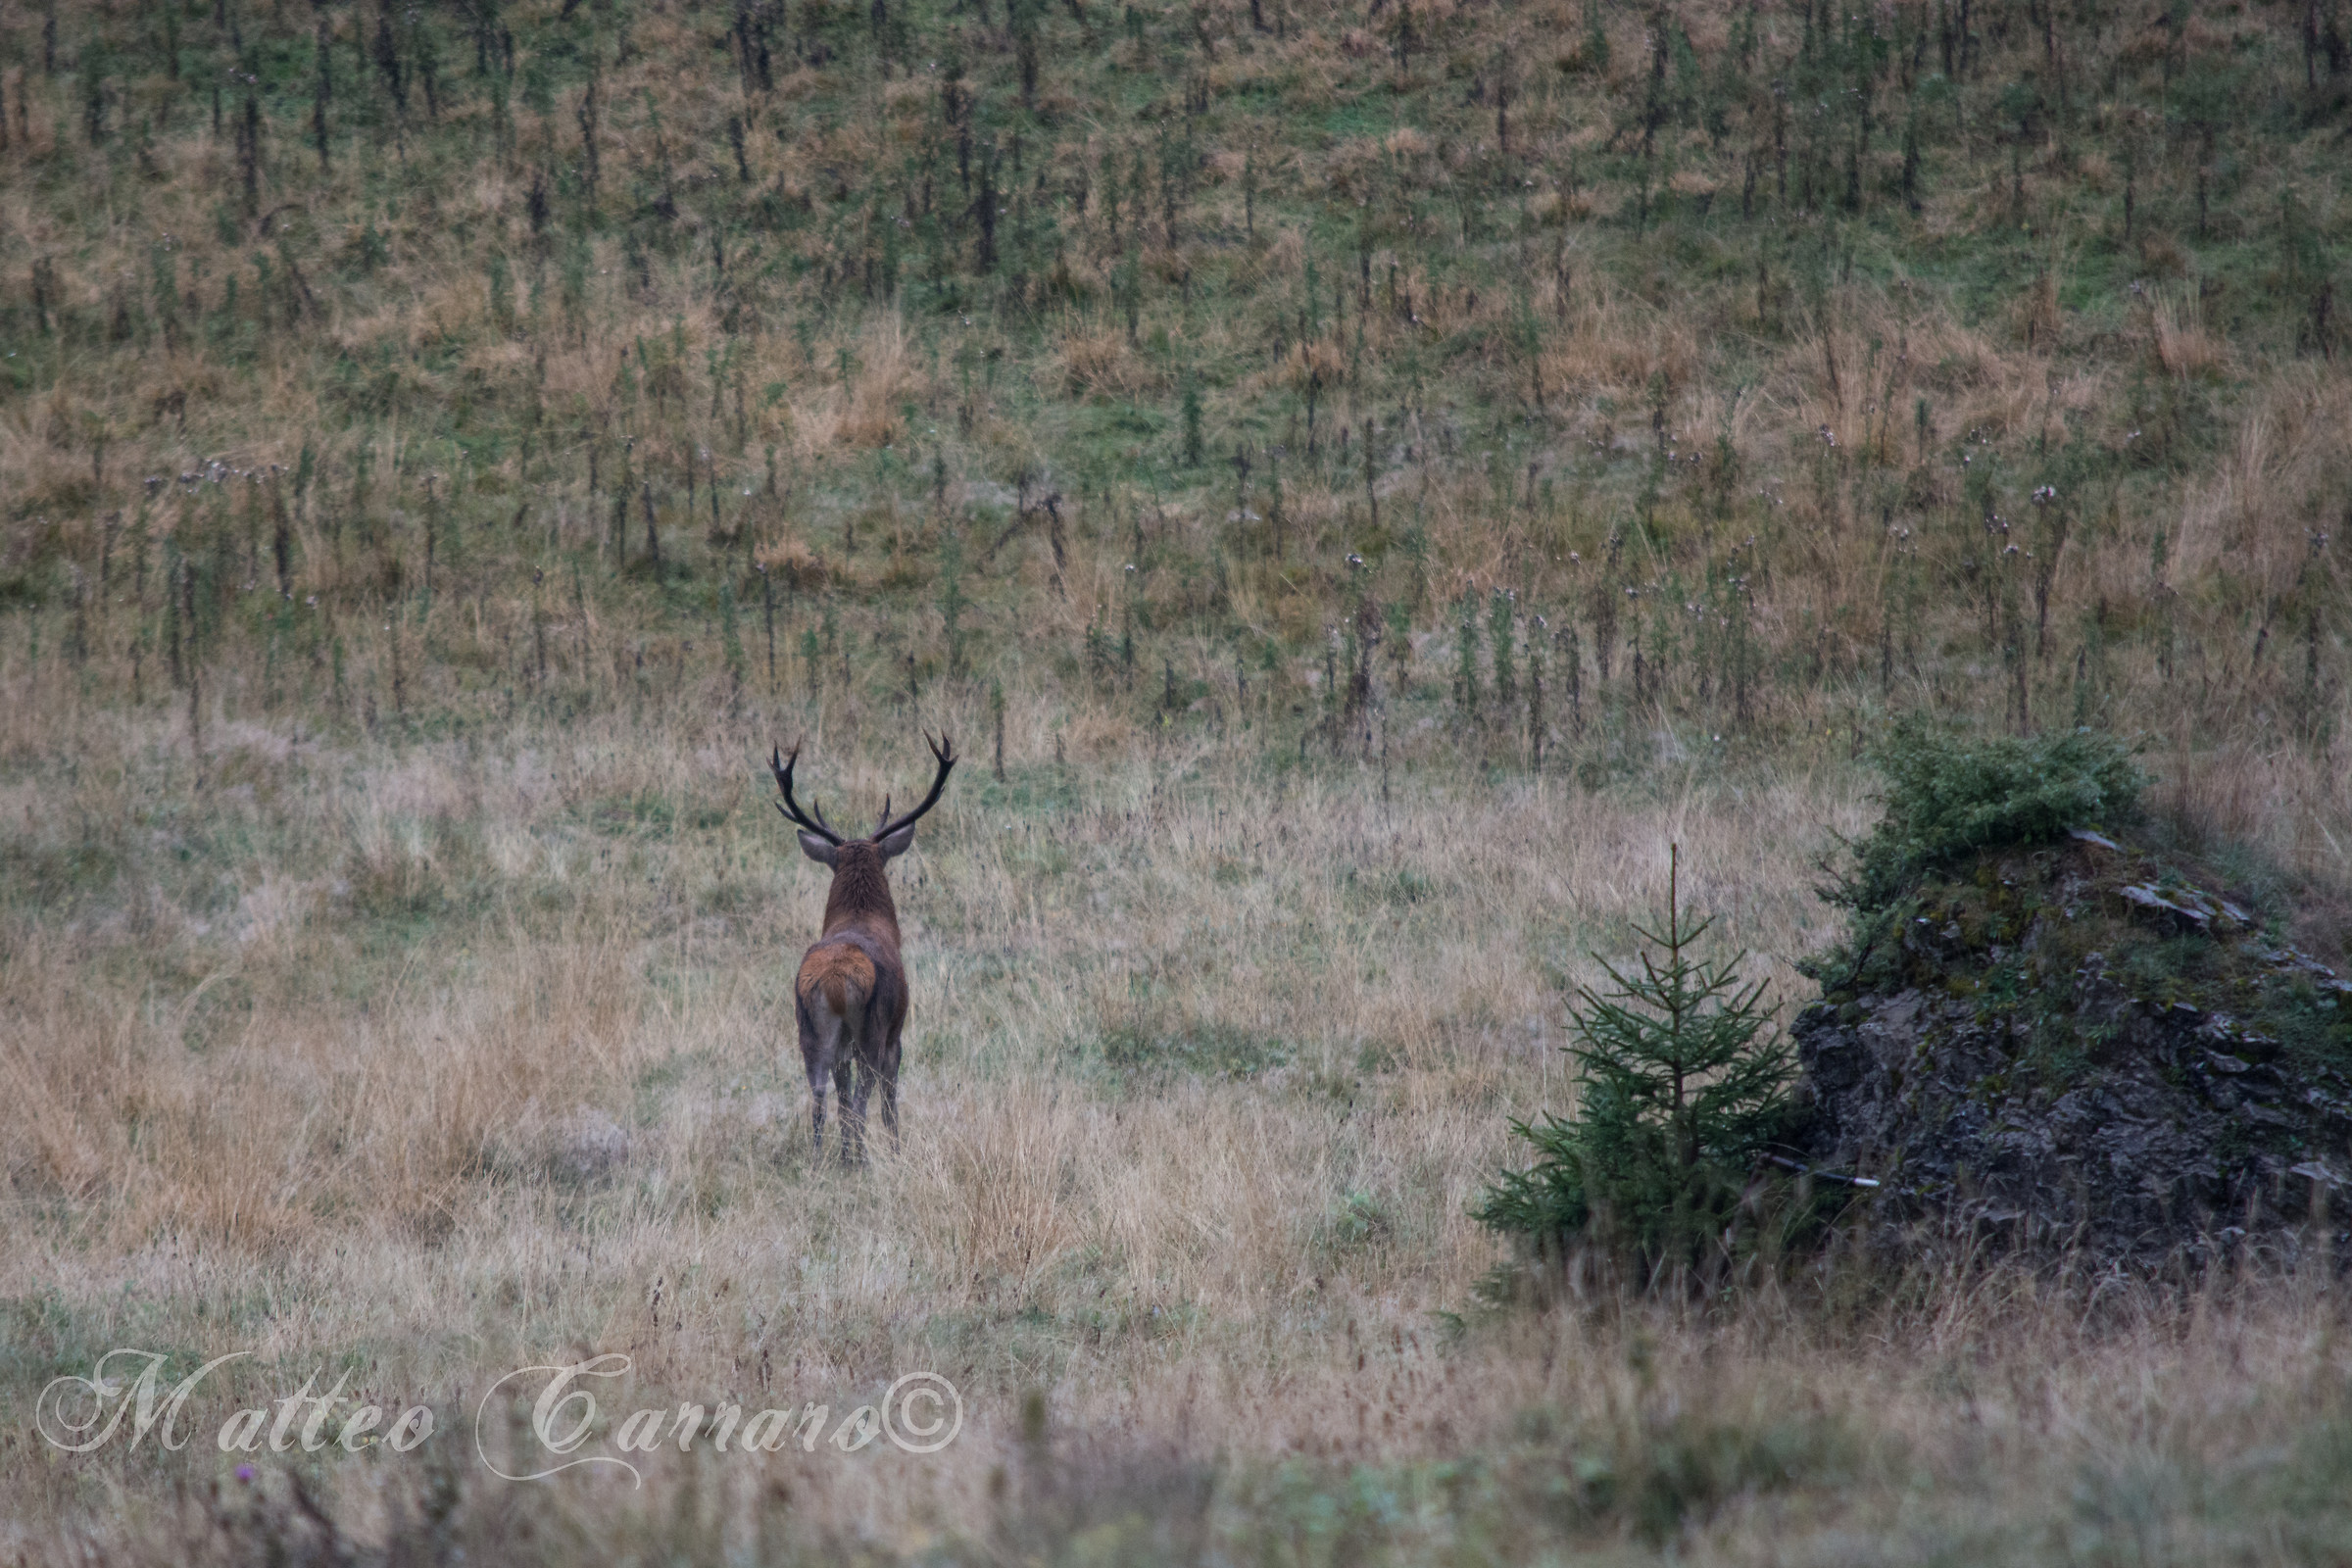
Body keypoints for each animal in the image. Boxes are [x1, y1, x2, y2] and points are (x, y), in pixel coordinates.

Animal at [769, 734, 956, 1163]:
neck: (860, 915)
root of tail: (835, 983)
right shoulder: (896, 1031)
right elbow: (887, 1103)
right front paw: (896, 1150)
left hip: (811, 1032)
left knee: (820, 1100)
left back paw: (824, 1159)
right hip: (870, 1030)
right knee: (860, 1101)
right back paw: (861, 1161)